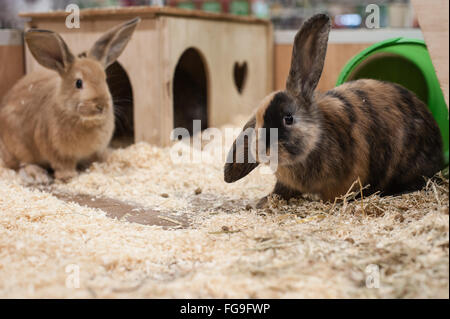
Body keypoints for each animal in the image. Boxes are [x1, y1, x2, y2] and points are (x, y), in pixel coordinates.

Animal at [0, 18, 141, 182]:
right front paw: (69, 176)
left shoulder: (96, 149)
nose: (101, 105)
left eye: (105, 79)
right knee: (22, 163)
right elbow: (63, 165)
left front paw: (110, 159)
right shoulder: (57, 151)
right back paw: (39, 174)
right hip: (19, 147)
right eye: (79, 83)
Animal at [223, 13, 442, 206]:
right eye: (258, 120)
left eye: (289, 118)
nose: (262, 150)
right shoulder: (286, 183)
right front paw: (264, 202)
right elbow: (281, 190)